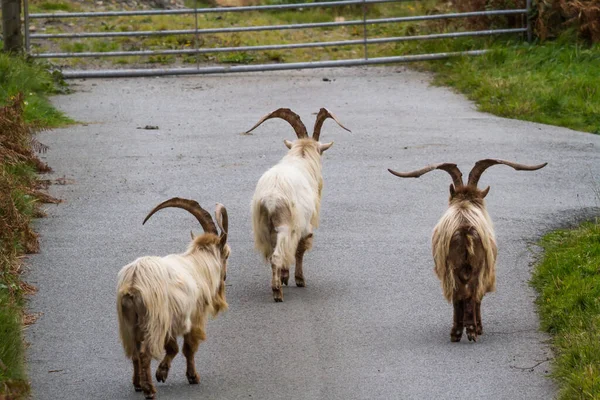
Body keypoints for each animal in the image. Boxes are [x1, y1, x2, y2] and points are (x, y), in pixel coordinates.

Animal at [116, 198, 229, 398]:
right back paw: (149, 390)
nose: (225, 278)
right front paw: (192, 377)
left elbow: (173, 347)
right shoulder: (193, 316)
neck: (199, 265)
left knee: (135, 352)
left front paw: (162, 373)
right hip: (154, 321)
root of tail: (133, 282)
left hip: (130, 323)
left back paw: (138, 384)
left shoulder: (172, 319)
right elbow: (188, 347)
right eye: (227, 255)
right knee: (144, 353)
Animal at [247, 108, 352, 302]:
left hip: (263, 227)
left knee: (273, 254)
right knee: (277, 255)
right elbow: (300, 250)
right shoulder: (304, 224)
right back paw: (277, 292)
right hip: (285, 225)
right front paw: (299, 280)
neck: (302, 157)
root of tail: (271, 197)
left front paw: (285, 276)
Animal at [386, 161, 548, 342]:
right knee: (472, 294)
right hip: (476, 266)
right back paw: (470, 330)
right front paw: (478, 328)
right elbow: (477, 297)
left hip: (453, 267)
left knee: (458, 295)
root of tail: (464, 229)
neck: (465, 205)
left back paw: (457, 332)